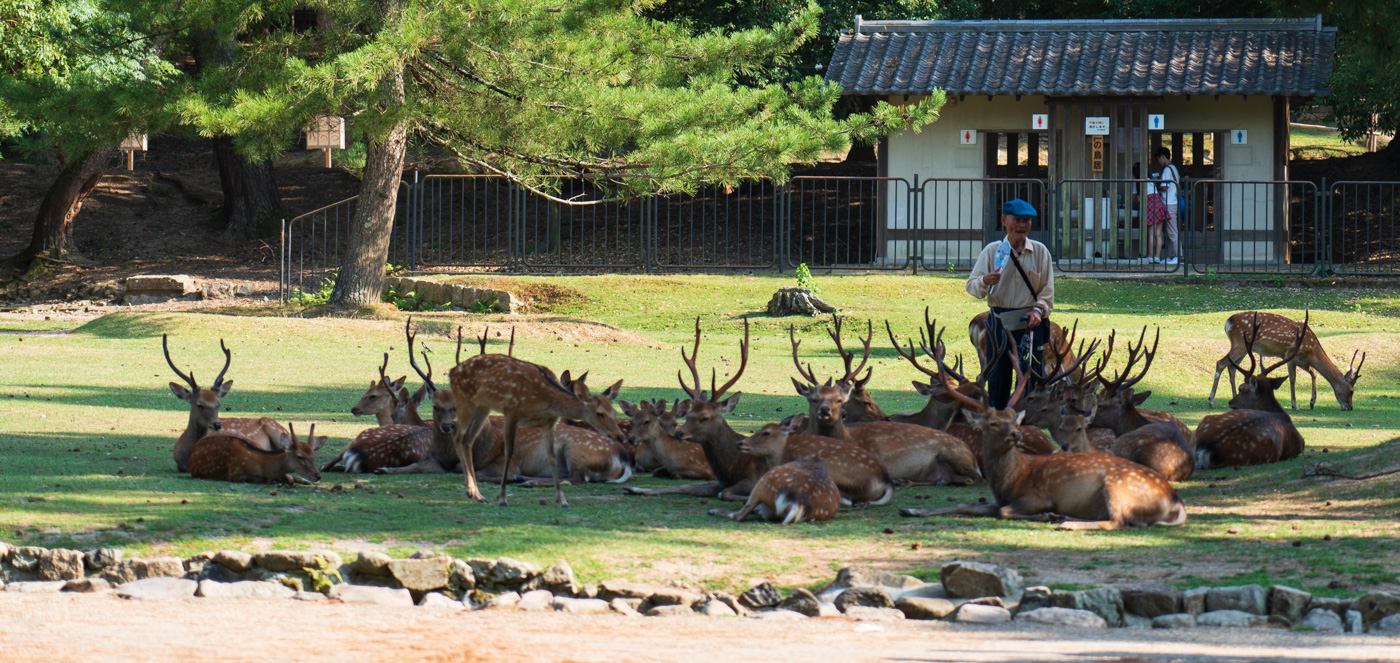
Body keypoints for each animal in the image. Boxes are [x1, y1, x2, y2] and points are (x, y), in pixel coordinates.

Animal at [449, 333, 625, 507]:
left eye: (614, 412)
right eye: (600, 413)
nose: (620, 436)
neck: (544, 400)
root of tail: (452, 372)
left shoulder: (548, 423)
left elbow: (552, 458)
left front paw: (562, 500)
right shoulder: (512, 412)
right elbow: (508, 452)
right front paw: (502, 498)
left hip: (483, 406)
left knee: (468, 440)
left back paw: (477, 495)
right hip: (465, 399)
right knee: (458, 436)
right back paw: (473, 491)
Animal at [624, 318, 768, 501]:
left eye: (705, 417)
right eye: (689, 416)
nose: (679, 433)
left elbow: (727, 493)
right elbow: (683, 486)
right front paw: (635, 489)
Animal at [1207, 311, 1364, 411]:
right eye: (1351, 391)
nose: (1350, 407)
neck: (1312, 350)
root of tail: (1228, 322)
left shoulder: (1302, 360)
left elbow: (1313, 373)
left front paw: (1312, 402)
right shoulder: (1291, 355)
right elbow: (1293, 379)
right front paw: (1296, 405)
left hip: (1244, 348)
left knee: (1232, 367)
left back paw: (1235, 397)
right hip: (1239, 343)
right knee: (1220, 363)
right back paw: (1211, 401)